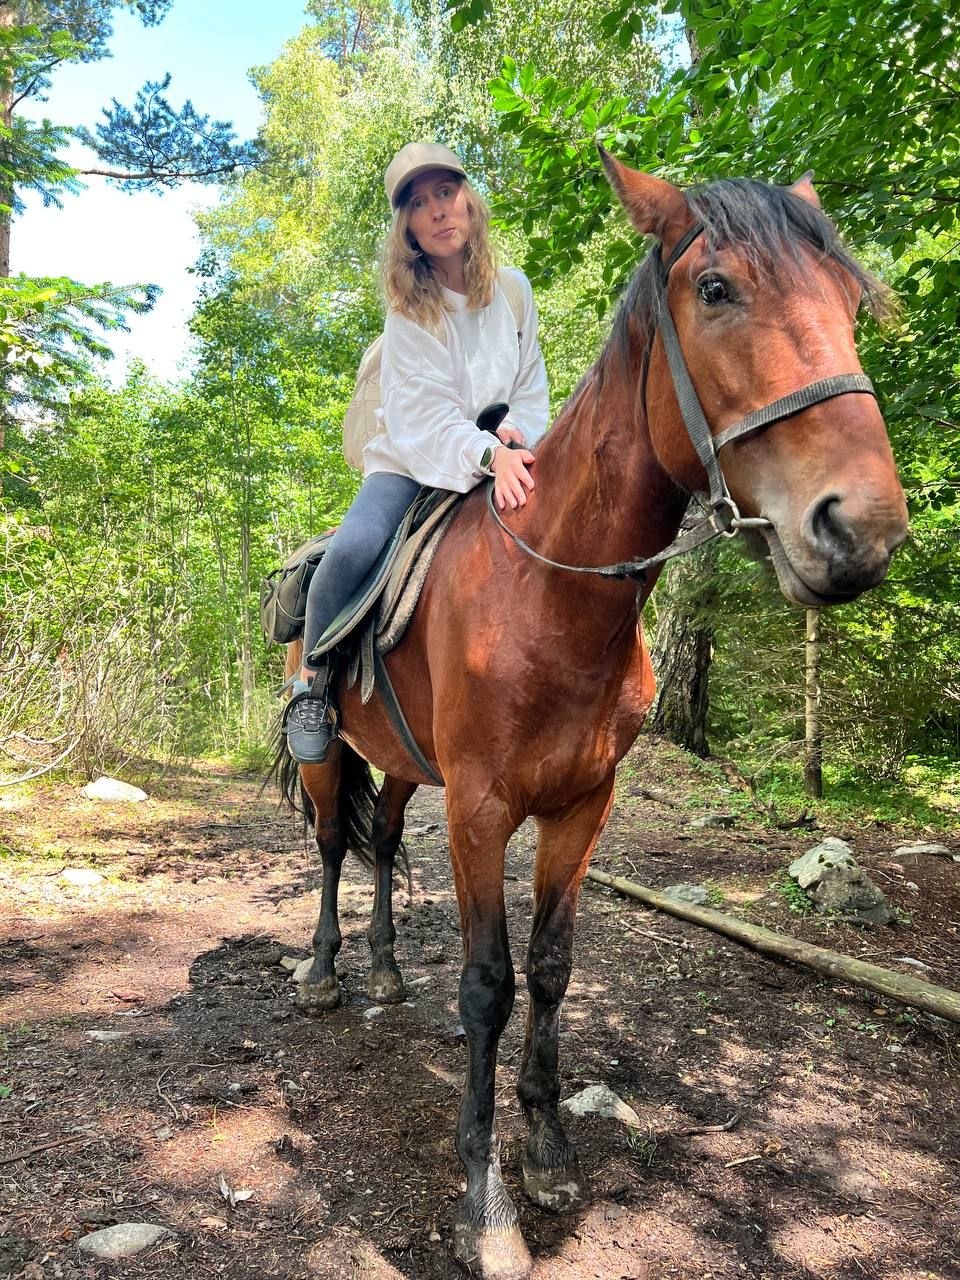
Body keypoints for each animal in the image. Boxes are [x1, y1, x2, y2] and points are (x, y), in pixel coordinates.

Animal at [276, 151, 908, 1280]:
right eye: (716, 288)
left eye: (848, 300)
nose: (862, 527)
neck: (552, 599)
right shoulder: (482, 810)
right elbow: (487, 982)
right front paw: (486, 1206)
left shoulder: (580, 808)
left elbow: (553, 968)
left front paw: (548, 1150)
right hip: (328, 755)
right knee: (333, 848)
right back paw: (323, 972)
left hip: (401, 766)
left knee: (382, 841)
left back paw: (384, 970)